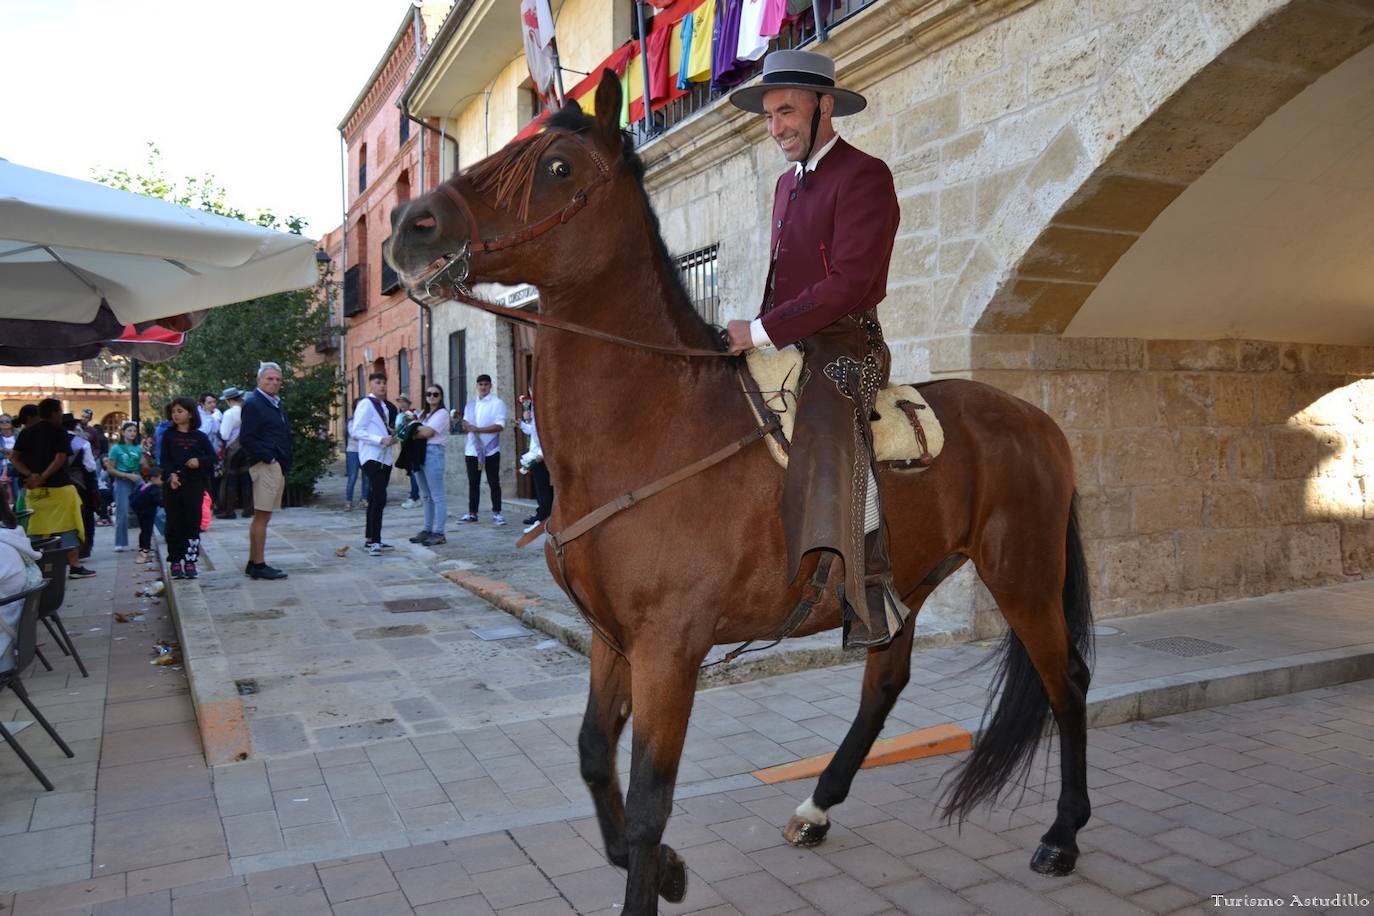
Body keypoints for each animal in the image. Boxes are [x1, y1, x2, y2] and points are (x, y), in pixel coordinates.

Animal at [390, 71, 1093, 916]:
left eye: (557, 167)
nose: (410, 225)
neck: (653, 425)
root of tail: (1037, 419)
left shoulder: (668, 648)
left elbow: (650, 798)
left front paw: (651, 872)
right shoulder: (611, 638)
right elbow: (594, 756)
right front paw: (659, 867)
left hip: (1023, 577)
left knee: (1067, 683)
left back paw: (1063, 834)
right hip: (907, 584)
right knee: (885, 683)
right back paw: (817, 807)